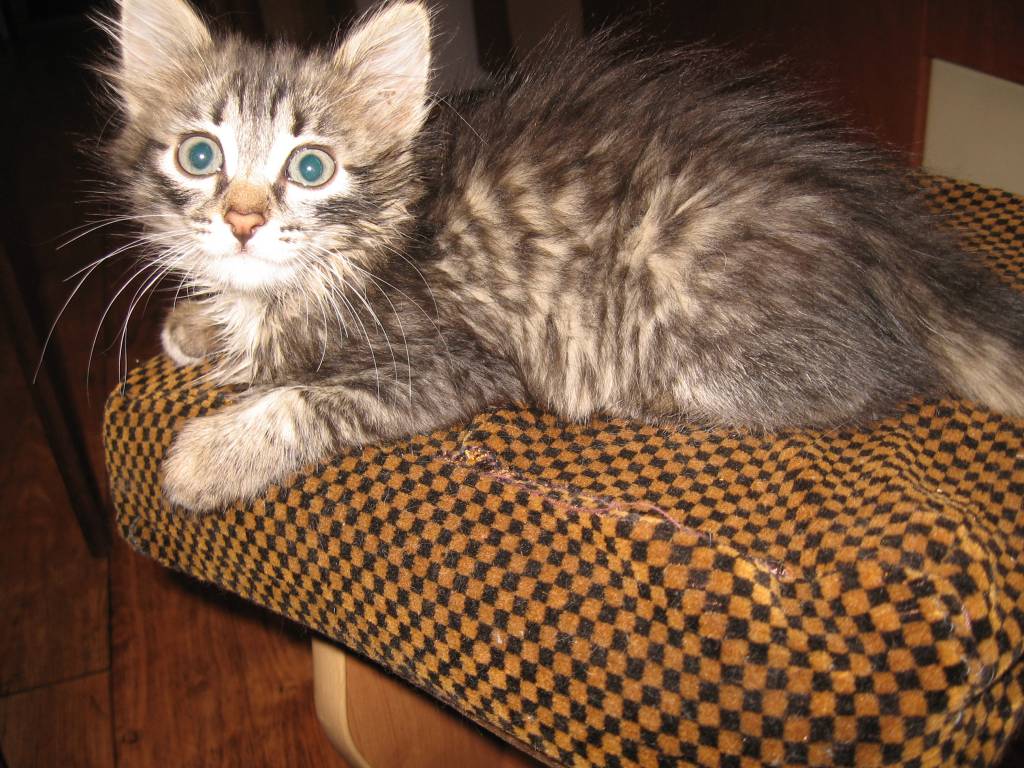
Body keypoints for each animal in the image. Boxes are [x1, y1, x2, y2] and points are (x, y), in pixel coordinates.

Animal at [103, 0, 1024, 513]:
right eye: (199, 155)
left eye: (310, 167)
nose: (243, 220)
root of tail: (883, 229)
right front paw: (199, 324)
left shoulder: (454, 360)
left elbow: (310, 397)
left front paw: (212, 455)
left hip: (682, 301)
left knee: (857, 388)